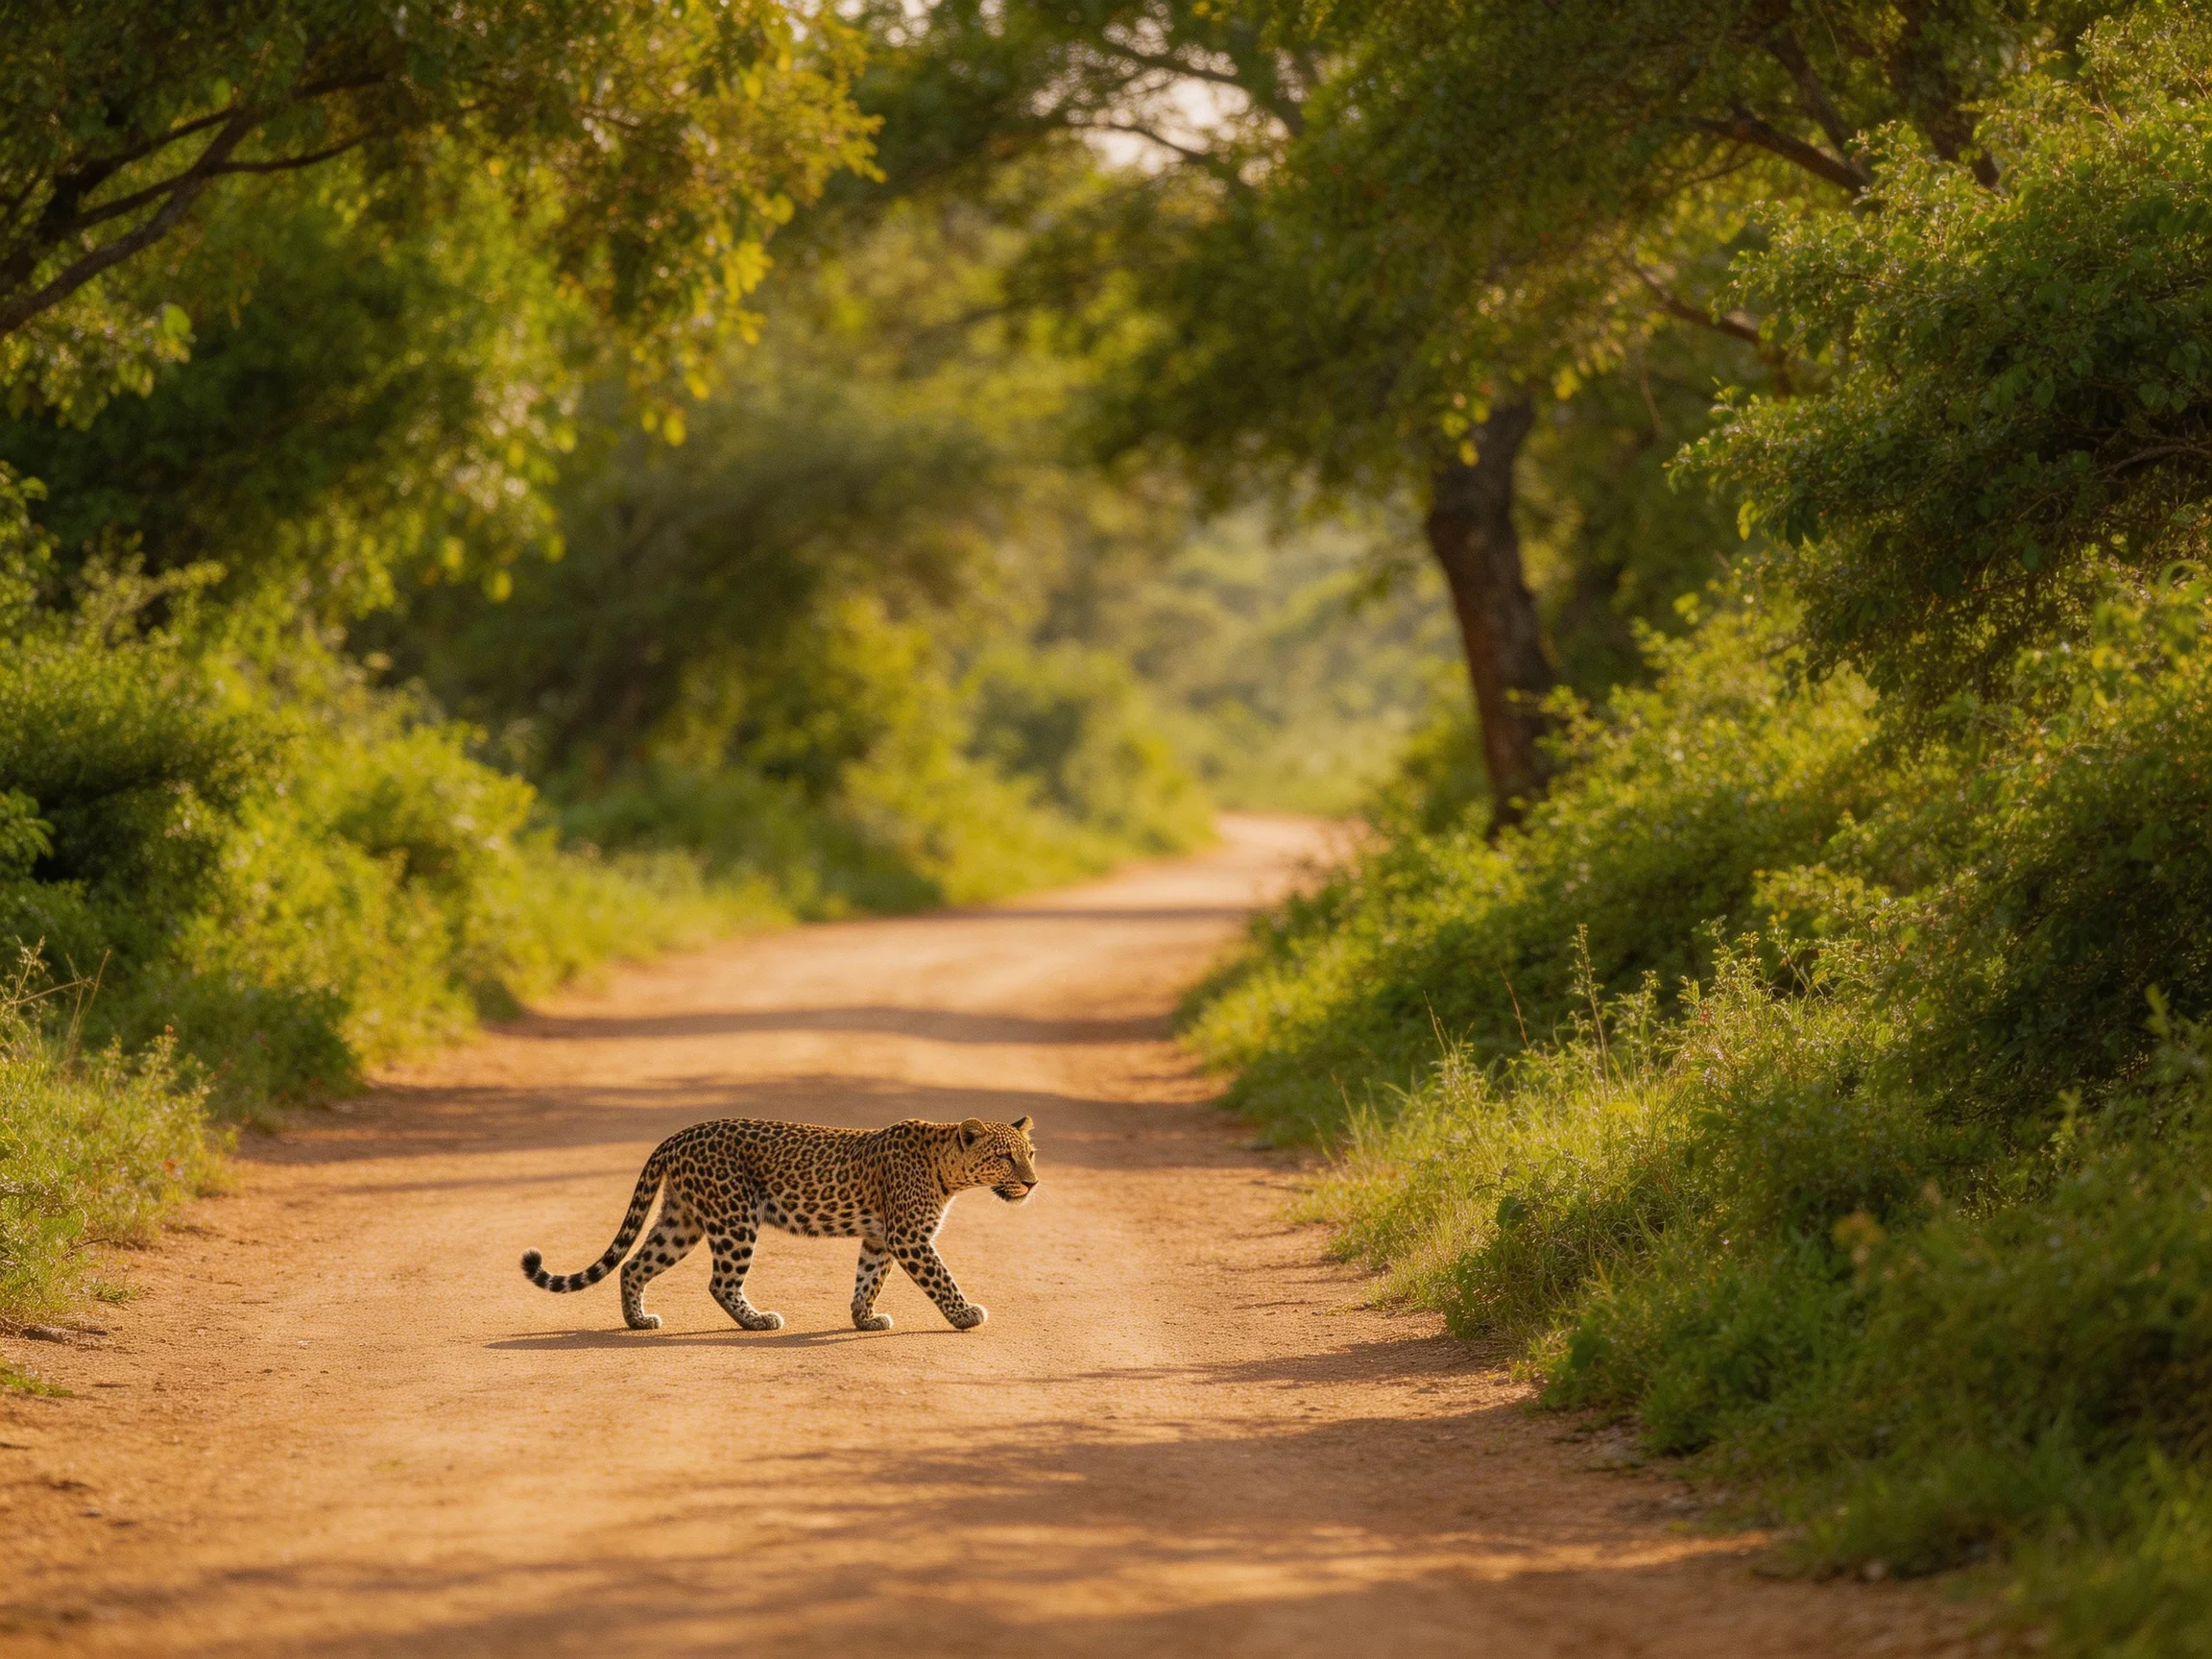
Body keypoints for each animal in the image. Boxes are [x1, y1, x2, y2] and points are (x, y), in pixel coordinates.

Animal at [520, 1114, 1039, 1333]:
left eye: (1030, 1153)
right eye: (1004, 1158)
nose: (1033, 1183)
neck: (948, 1168)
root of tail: (678, 1135)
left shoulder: (879, 1239)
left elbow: (867, 1280)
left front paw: (864, 1319)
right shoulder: (909, 1237)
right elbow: (942, 1278)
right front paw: (965, 1315)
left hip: (682, 1220)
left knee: (634, 1265)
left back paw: (639, 1321)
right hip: (734, 1216)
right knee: (719, 1282)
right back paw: (758, 1321)